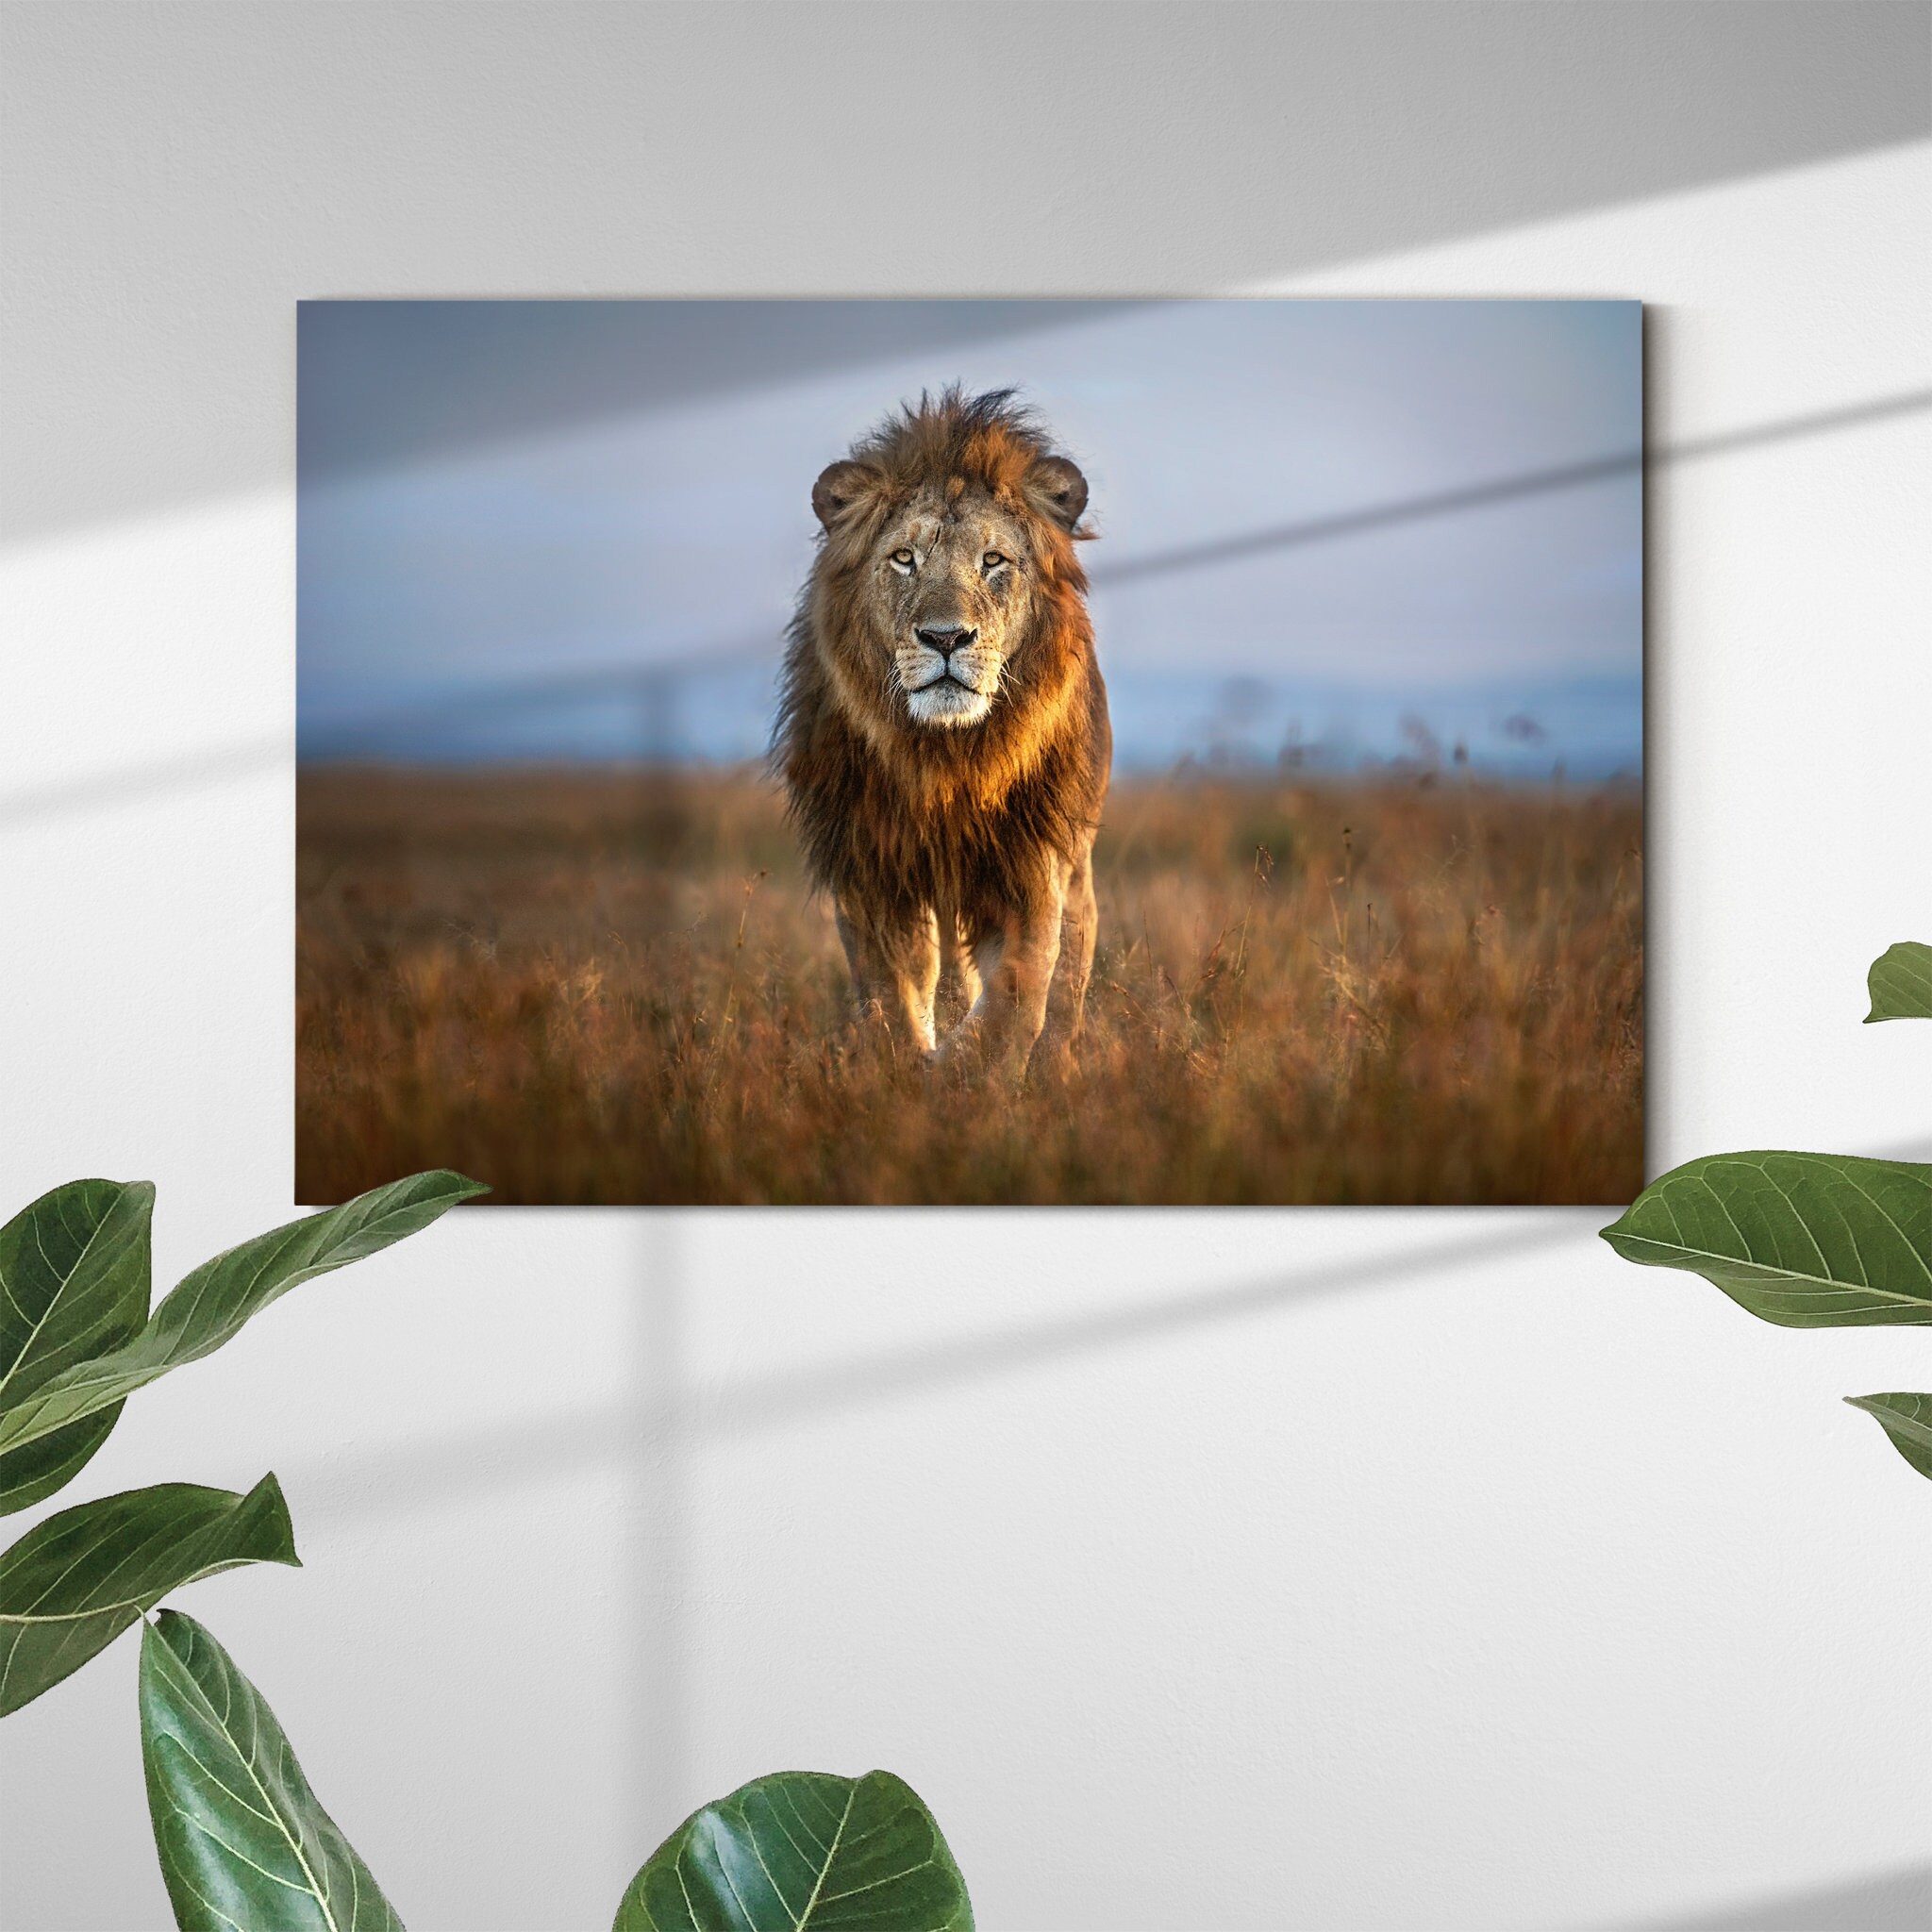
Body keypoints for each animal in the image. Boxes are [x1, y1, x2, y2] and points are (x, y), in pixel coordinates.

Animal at [773, 386, 1111, 1077]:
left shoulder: (1031, 865)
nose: (947, 638)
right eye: (904, 558)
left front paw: (965, 1077)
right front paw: (906, 1072)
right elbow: (892, 994)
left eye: (993, 561)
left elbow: (1016, 996)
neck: (946, 757)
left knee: (1067, 978)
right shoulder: (870, 868)